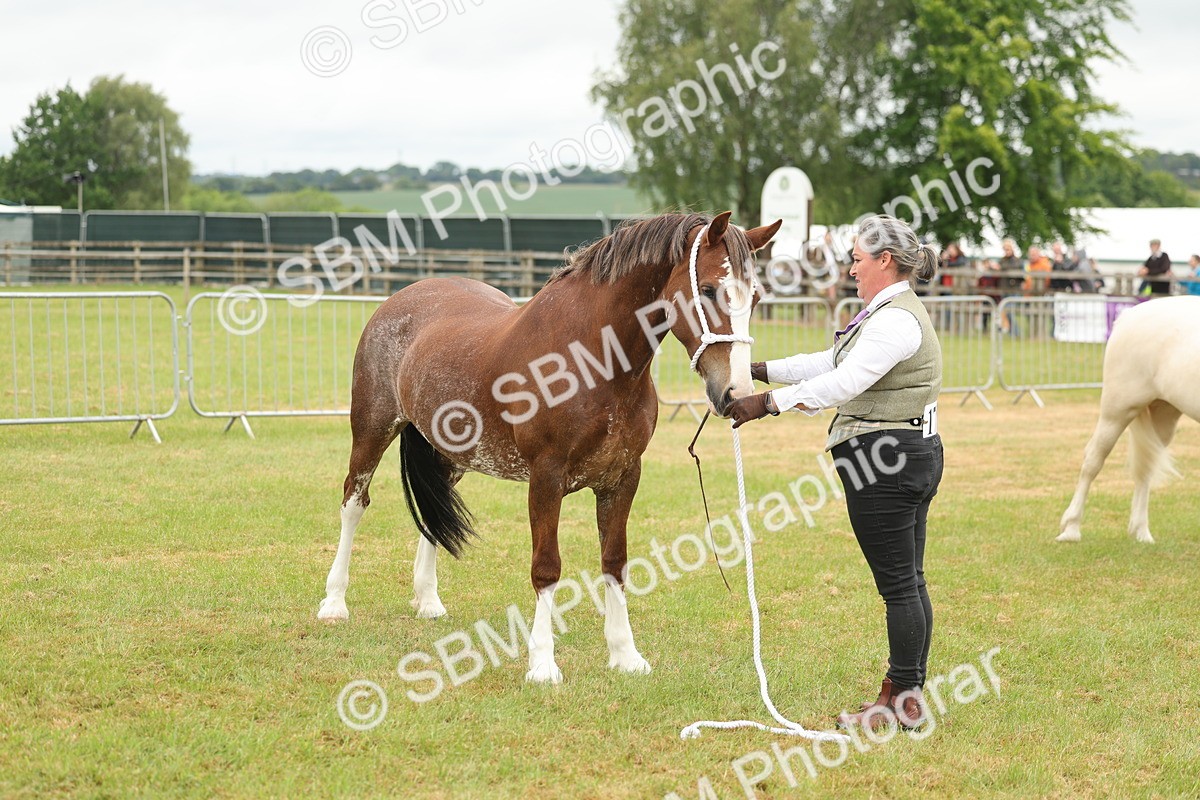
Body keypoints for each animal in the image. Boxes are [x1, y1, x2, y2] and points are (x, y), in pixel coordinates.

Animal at [317, 211, 782, 683]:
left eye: (756, 297)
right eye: (707, 289)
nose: (735, 394)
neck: (591, 359)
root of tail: (399, 299)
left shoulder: (623, 477)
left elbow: (614, 561)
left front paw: (625, 655)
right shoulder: (546, 477)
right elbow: (547, 567)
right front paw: (542, 663)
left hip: (450, 452)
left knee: (434, 507)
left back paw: (428, 601)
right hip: (371, 430)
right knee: (354, 502)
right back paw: (334, 603)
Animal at [1058, 296, 1199, 544]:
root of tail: (1127, 316)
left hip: (1163, 416)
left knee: (1146, 467)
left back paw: (1142, 532)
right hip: (1117, 411)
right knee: (1093, 461)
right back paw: (1071, 529)